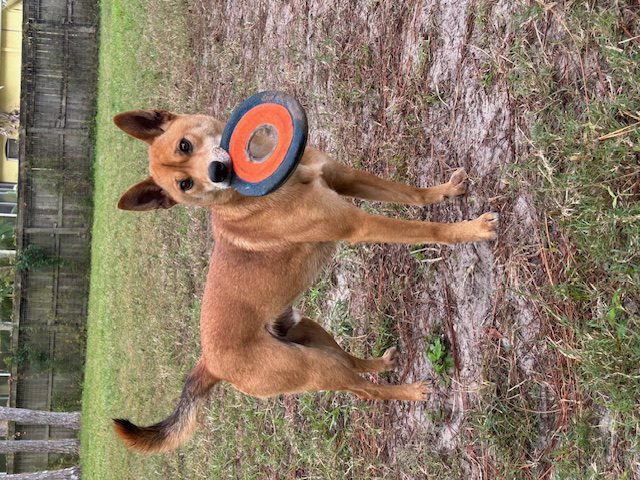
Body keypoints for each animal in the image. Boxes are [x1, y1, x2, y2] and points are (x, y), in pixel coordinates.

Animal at [111, 109, 500, 454]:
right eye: (185, 184)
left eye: (185, 145)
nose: (217, 171)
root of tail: (209, 362)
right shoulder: (358, 225)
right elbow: (428, 229)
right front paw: (471, 230)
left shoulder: (346, 177)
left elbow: (411, 194)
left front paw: (443, 191)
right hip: (310, 368)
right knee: (364, 391)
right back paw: (410, 392)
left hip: (309, 332)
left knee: (348, 363)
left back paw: (380, 365)